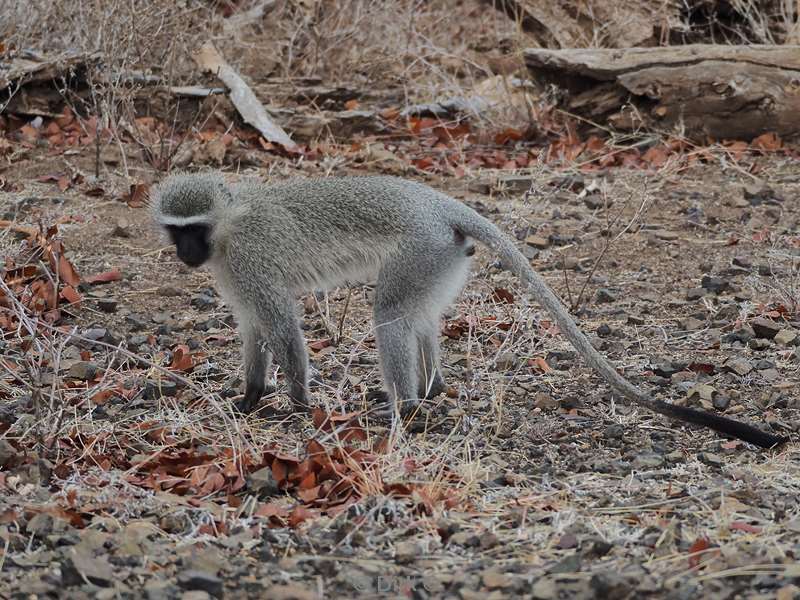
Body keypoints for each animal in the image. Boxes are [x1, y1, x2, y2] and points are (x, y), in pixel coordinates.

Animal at [152, 171, 788, 448]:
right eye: (176, 230)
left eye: (195, 228)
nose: (185, 254)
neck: (229, 228)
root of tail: (438, 203)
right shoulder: (234, 274)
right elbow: (254, 329)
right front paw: (249, 398)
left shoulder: (251, 262)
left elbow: (281, 325)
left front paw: (298, 405)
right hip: (441, 257)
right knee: (419, 317)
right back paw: (430, 391)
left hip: (420, 248)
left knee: (390, 314)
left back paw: (406, 408)